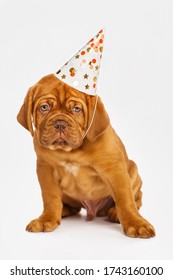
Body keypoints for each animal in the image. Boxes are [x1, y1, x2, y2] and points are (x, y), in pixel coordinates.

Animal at [17, 73, 155, 237]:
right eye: (44, 107)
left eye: (77, 109)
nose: (60, 124)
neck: (71, 151)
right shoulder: (46, 169)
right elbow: (50, 198)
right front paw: (46, 219)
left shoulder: (114, 168)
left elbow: (125, 199)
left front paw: (136, 223)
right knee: (70, 206)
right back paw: (63, 210)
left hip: (133, 171)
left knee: (136, 199)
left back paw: (115, 213)